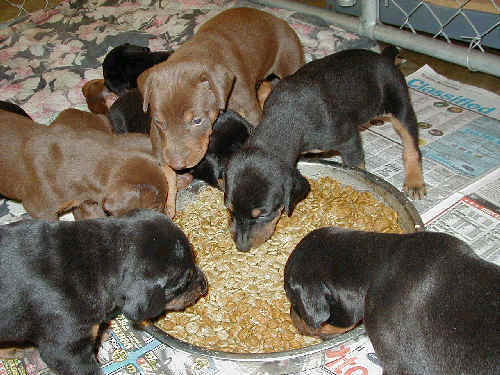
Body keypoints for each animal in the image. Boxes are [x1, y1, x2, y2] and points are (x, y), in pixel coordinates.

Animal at [135, 6, 304, 170]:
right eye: (159, 122)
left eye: (197, 120)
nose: (177, 165)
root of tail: (273, 17)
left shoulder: (250, 110)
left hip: (290, 57)